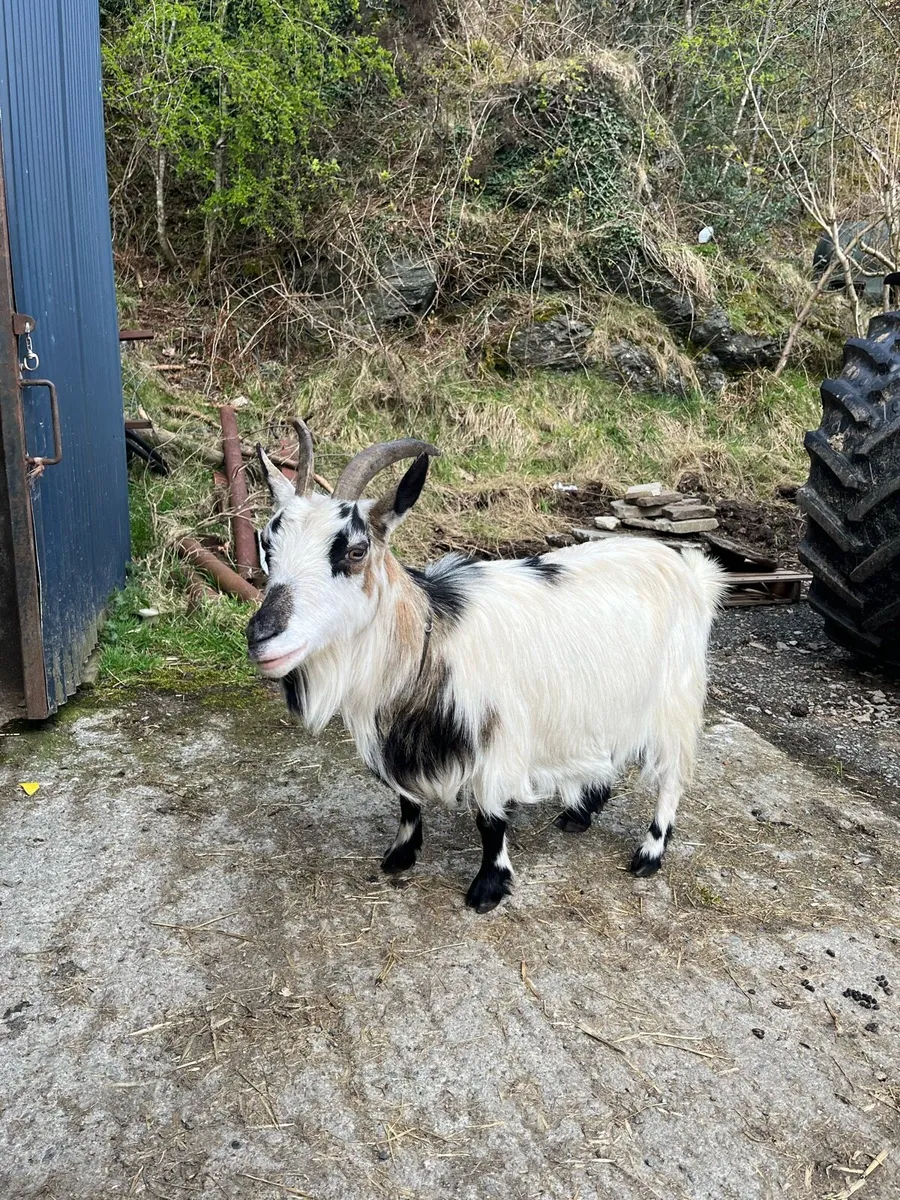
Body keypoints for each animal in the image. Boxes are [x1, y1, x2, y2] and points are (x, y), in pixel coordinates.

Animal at [247, 422, 728, 913]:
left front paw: (488, 887)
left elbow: (490, 819)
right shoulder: (398, 740)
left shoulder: (498, 738)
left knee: (671, 774)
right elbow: (407, 801)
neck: (432, 636)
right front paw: (400, 855)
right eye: (267, 543)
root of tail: (688, 570)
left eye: (356, 551)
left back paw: (649, 852)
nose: (260, 636)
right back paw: (580, 813)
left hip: (675, 694)